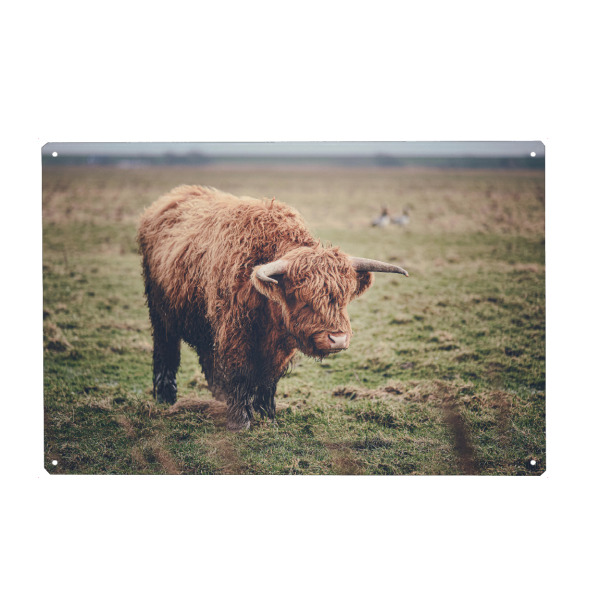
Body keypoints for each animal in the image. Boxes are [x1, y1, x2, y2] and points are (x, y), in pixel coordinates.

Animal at [138, 185, 409, 430]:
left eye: (343, 299)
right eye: (304, 299)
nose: (338, 339)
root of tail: (172, 197)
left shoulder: (279, 347)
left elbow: (268, 381)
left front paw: (268, 417)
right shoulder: (234, 334)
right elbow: (239, 373)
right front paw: (240, 422)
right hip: (160, 313)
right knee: (166, 352)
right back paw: (166, 399)